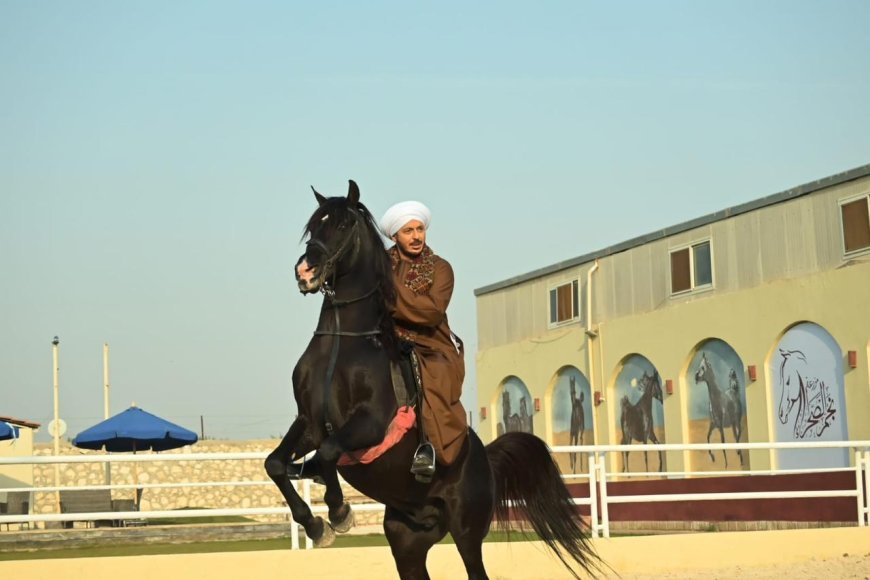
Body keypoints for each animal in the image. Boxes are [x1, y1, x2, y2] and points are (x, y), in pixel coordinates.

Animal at [264, 181, 600, 580]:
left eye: (343, 225)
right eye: (314, 225)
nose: (306, 271)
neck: (343, 341)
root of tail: (484, 459)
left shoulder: (369, 424)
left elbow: (329, 452)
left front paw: (339, 513)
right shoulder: (310, 422)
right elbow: (276, 463)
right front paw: (315, 524)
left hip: (467, 532)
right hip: (407, 543)